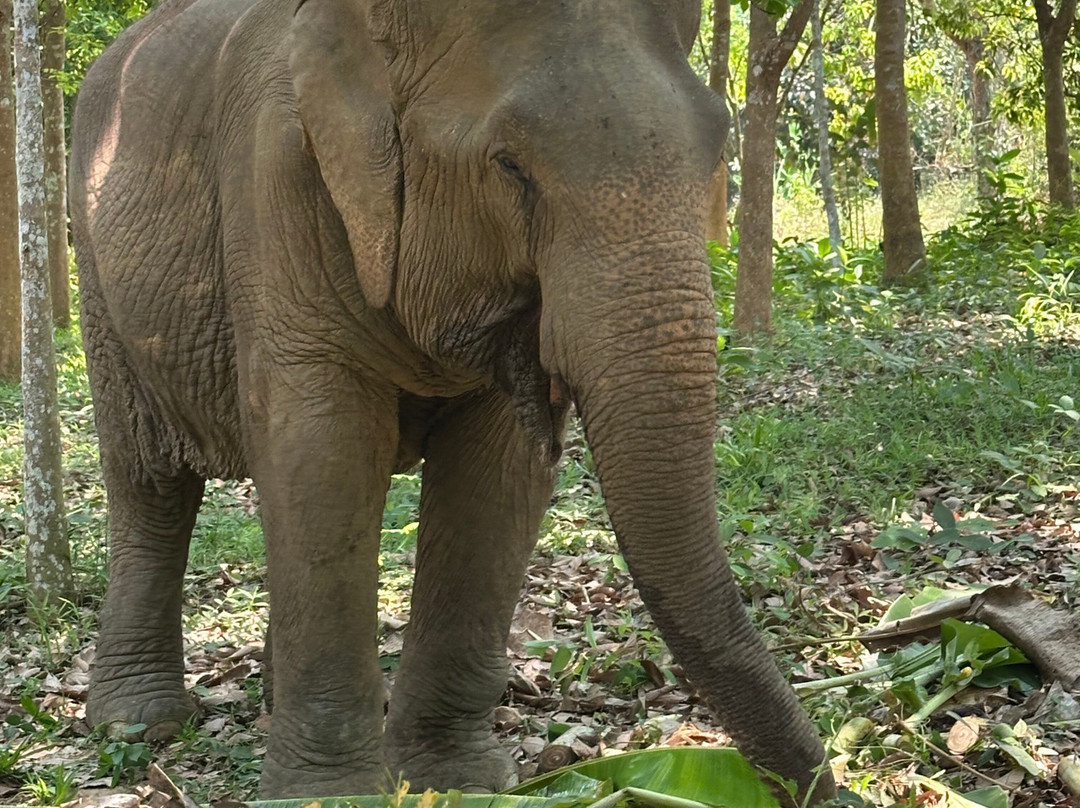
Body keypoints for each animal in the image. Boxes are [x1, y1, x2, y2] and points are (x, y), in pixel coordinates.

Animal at [68, 0, 835, 802]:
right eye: (510, 166)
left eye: (716, 145)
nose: (826, 786)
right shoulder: (272, 177)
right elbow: (323, 449)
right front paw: (329, 795)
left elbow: (495, 474)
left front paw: (458, 779)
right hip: (95, 277)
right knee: (149, 482)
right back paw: (137, 723)